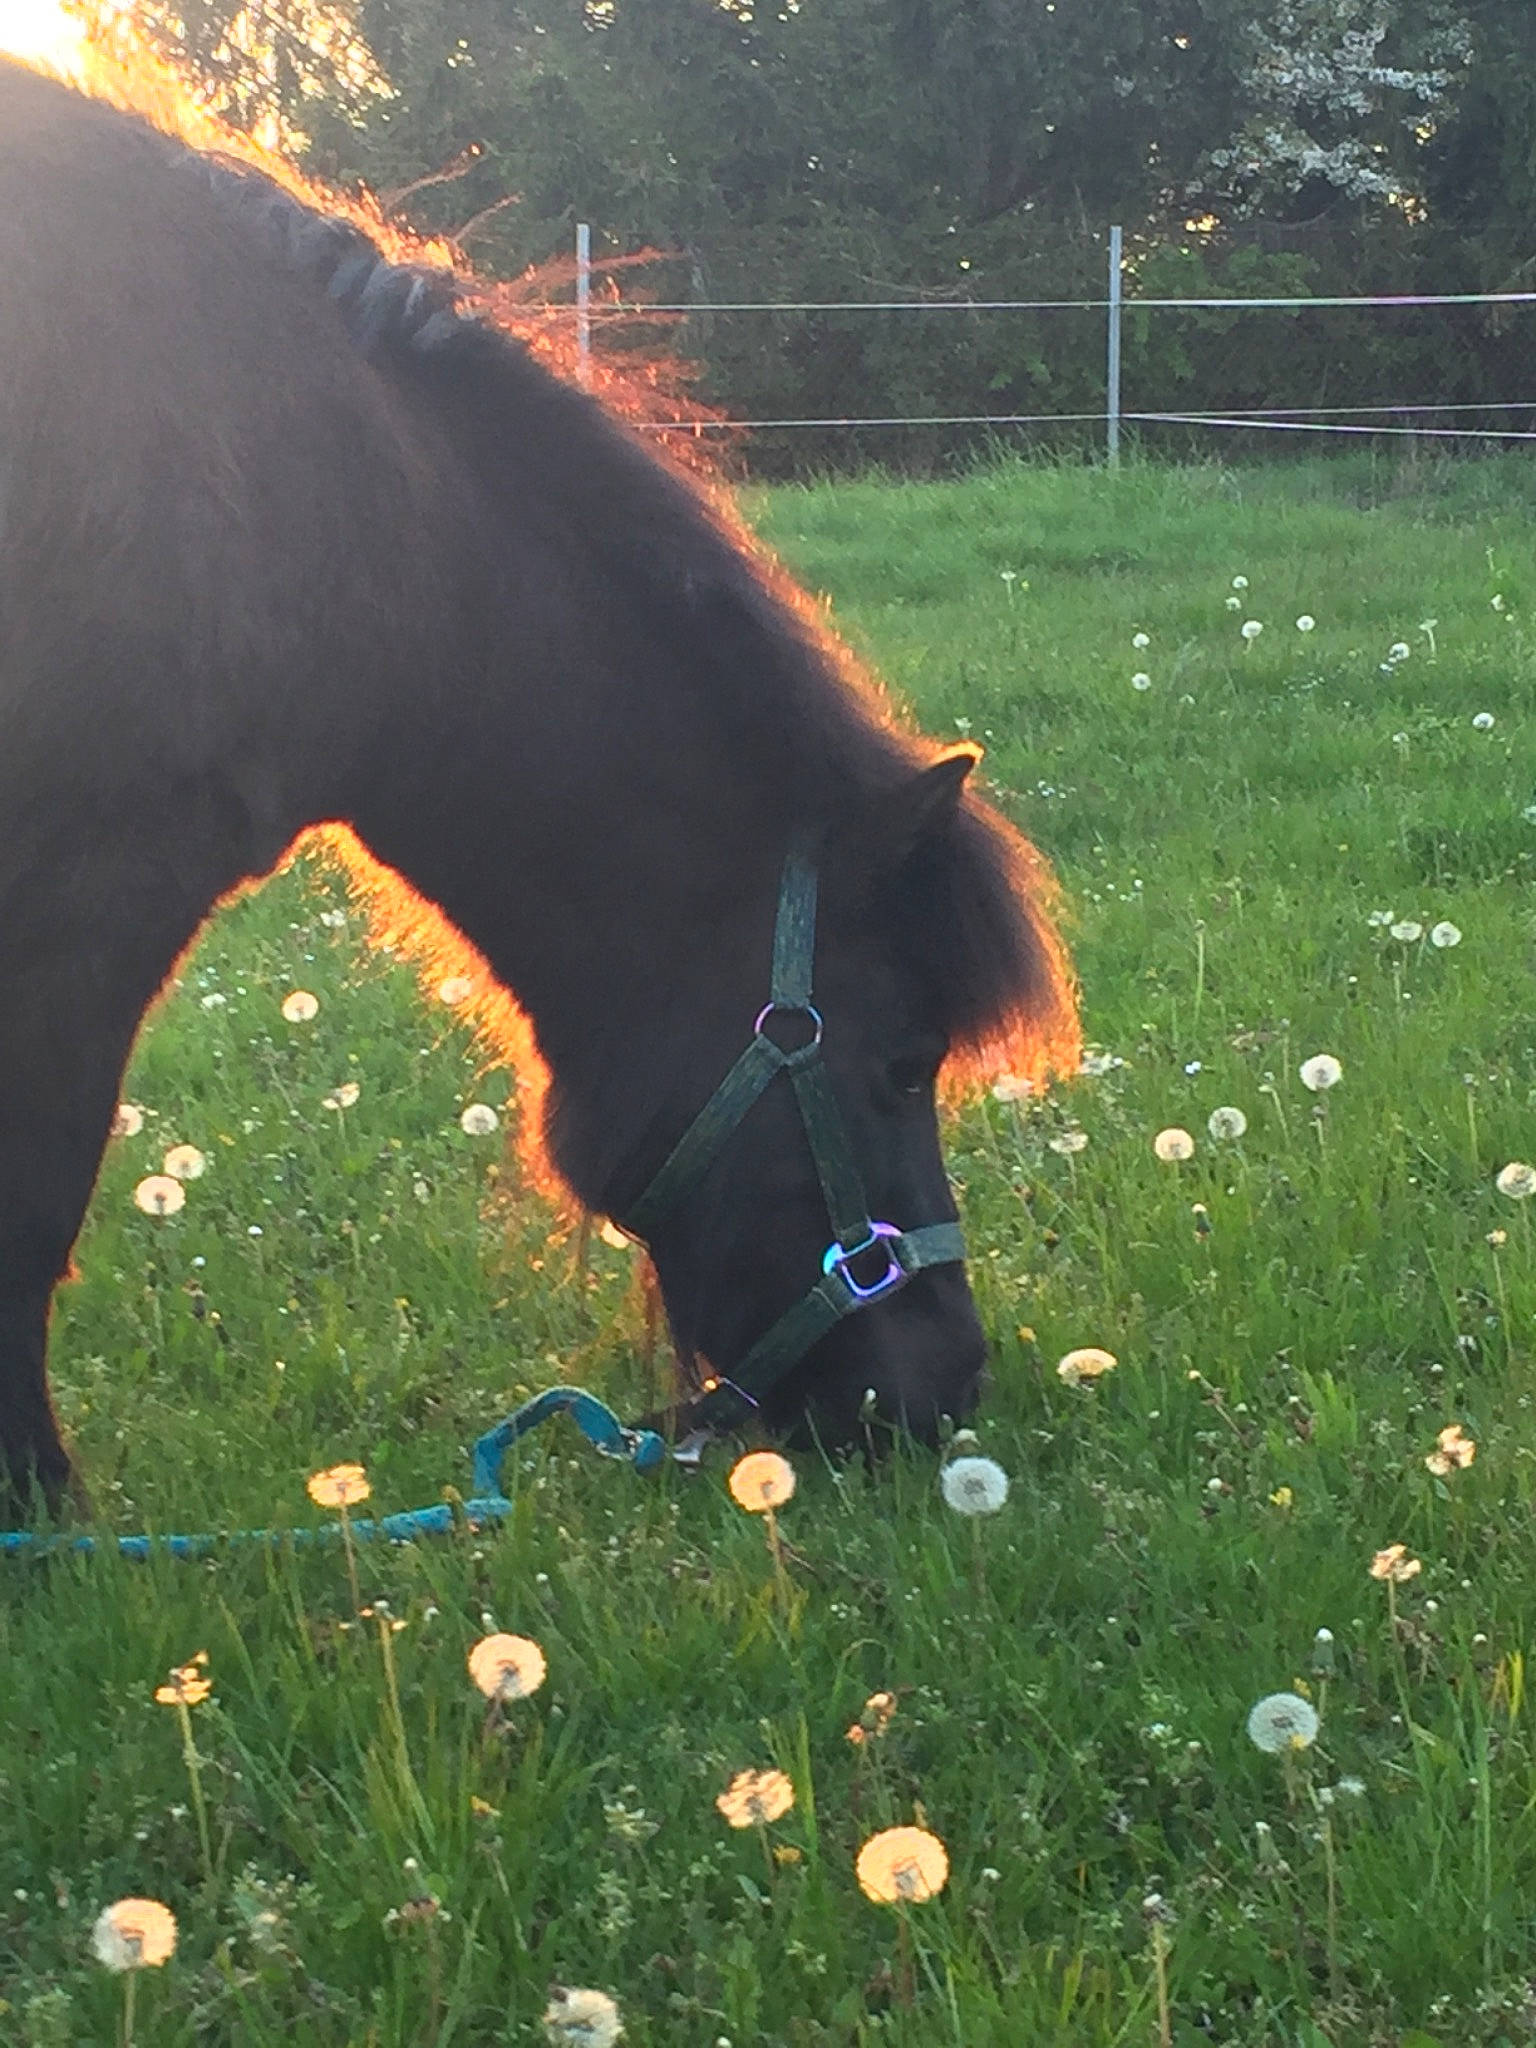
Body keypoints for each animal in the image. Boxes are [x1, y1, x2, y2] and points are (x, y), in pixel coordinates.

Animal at [0, 57, 1078, 1523]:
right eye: (907, 1062)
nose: (951, 1383)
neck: (345, 519)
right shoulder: (94, 893)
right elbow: (35, 1195)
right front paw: (38, 1502)